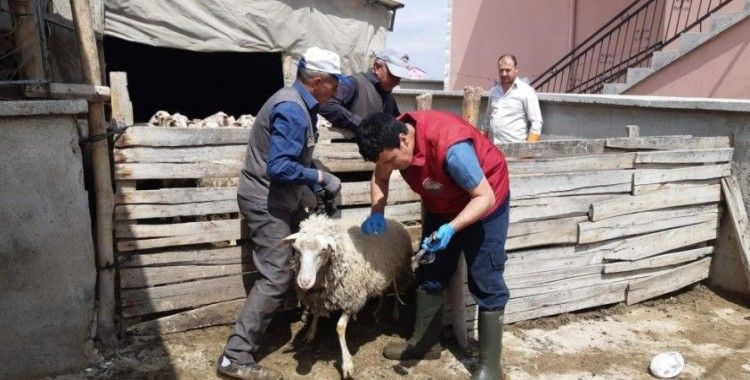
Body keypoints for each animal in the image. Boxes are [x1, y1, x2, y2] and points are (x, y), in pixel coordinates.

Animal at [286, 214, 418, 378]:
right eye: (297, 249)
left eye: (323, 250)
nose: (304, 282)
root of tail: (394, 220)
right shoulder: (321, 296)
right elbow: (316, 312)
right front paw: (310, 333)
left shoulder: (352, 299)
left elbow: (340, 328)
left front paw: (347, 364)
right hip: (383, 273)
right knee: (384, 292)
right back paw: (378, 312)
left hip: (400, 271)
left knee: (398, 291)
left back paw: (395, 313)